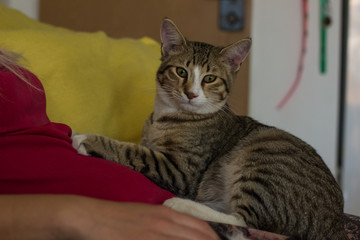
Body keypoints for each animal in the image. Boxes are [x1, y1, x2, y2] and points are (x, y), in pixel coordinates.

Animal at [72, 19, 346, 240]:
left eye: (210, 78)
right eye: (180, 71)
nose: (191, 93)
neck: (167, 118)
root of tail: (333, 225)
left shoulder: (180, 170)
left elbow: (132, 151)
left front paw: (85, 138)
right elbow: (138, 147)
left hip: (264, 157)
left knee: (244, 222)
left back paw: (179, 204)